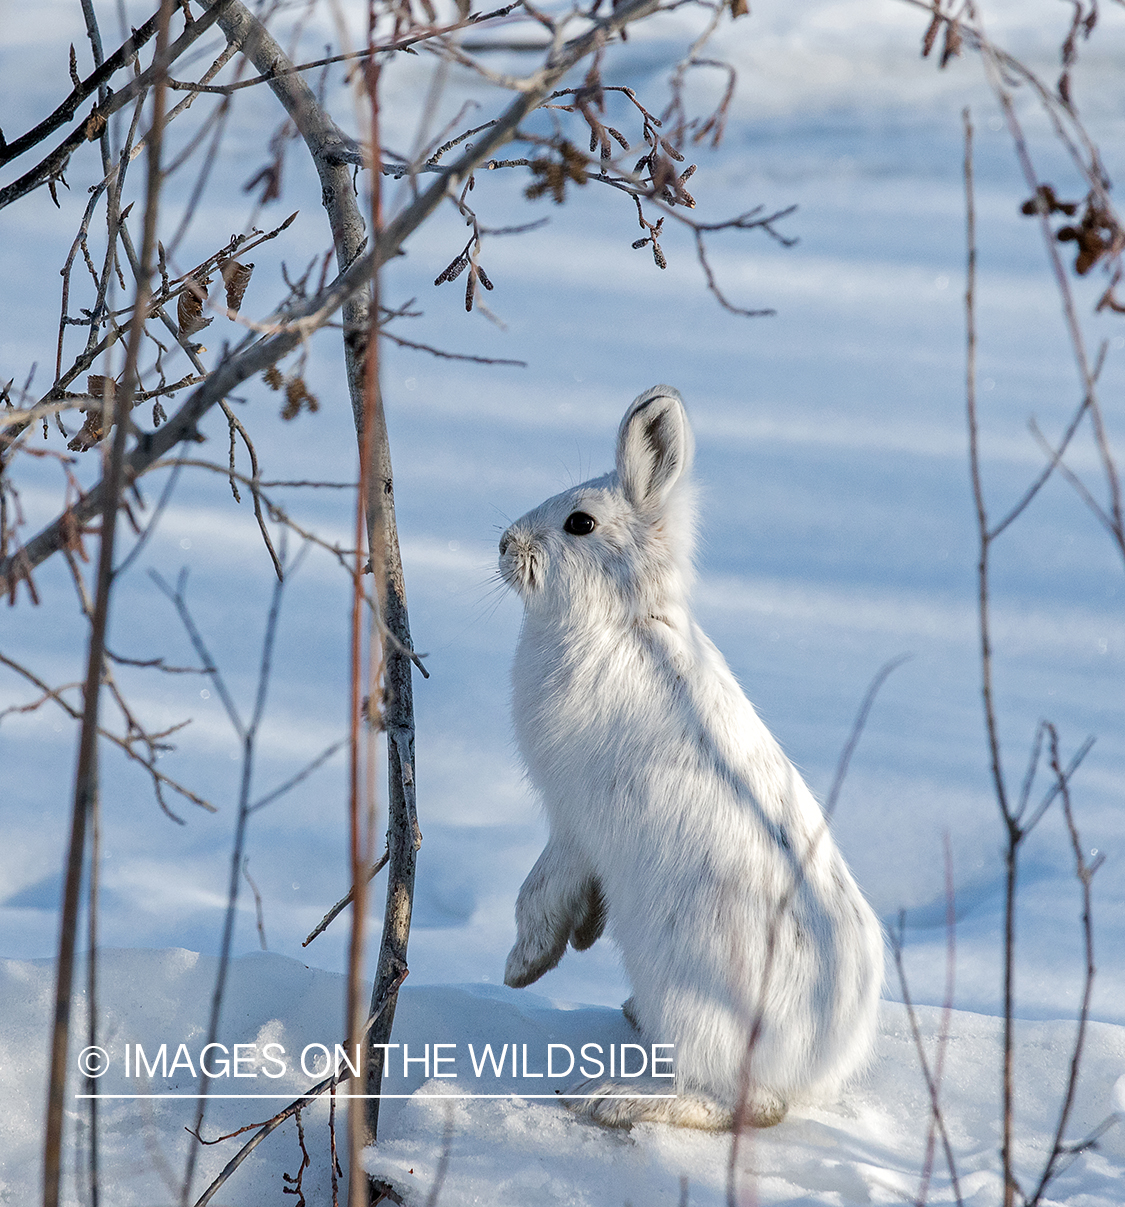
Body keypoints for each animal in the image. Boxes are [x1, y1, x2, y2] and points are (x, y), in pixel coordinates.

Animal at [498, 385, 884, 1131]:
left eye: (579, 523)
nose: (505, 544)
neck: (624, 617)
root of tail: (817, 1061)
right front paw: (576, 940)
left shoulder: (570, 819)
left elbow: (539, 889)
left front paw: (522, 967)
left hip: (694, 1000)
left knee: (746, 1105)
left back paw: (611, 1098)